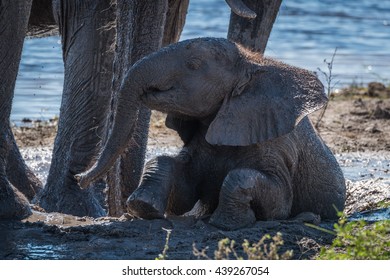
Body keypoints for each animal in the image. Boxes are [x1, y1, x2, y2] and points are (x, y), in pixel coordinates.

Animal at [75, 37, 344, 230]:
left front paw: (226, 224)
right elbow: (180, 191)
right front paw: (143, 208)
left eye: (193, 64)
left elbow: (277, 203)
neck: (252, 63)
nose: (79, 178)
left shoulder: (275, 145)